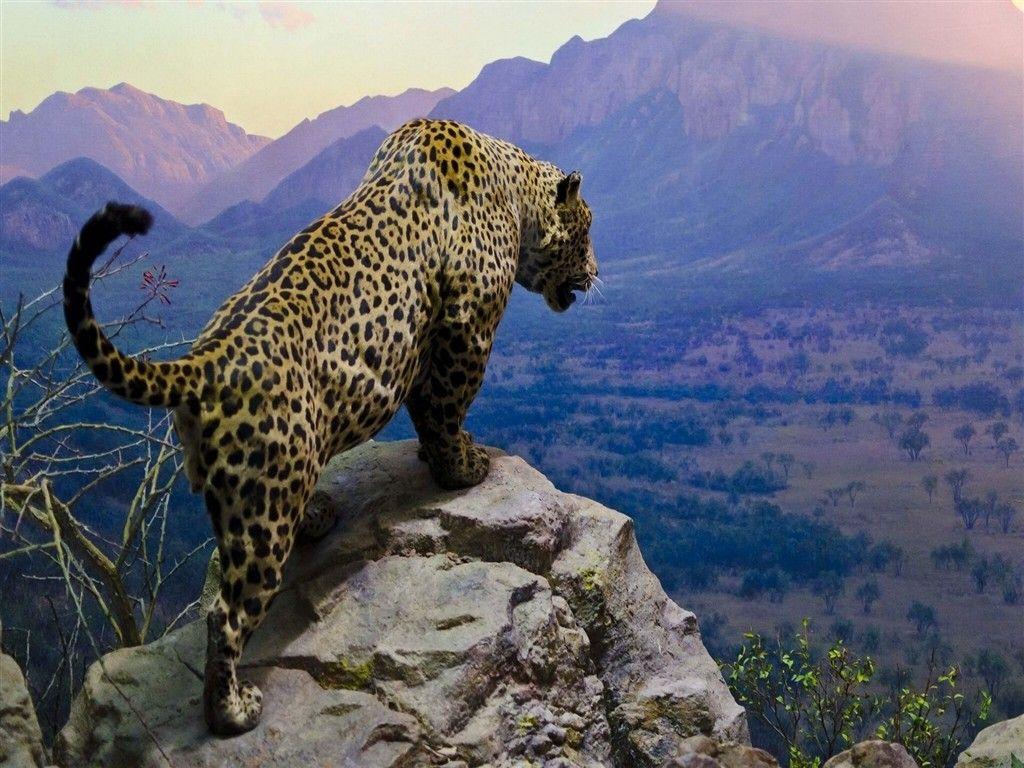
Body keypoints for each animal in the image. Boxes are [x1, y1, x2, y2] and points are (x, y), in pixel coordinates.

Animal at [62, 118, 598, 736]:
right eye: (586, 232)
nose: (596, 273)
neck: (516, 191)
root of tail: (202, 362)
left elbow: (429, 411)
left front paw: (440, 456)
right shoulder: (466, 327)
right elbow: (445, 407)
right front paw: (462, 467)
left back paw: (317, 515)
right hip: (264, 507)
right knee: (225, 614)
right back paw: (232, 711)